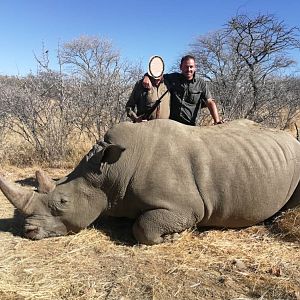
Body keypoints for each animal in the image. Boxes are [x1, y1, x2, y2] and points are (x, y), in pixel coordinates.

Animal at [0, 118, 300, 245]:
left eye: (63, 202)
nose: (28, 232)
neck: (109, 172)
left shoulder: (187, 208)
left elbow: (143, 226)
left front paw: (172, 237)